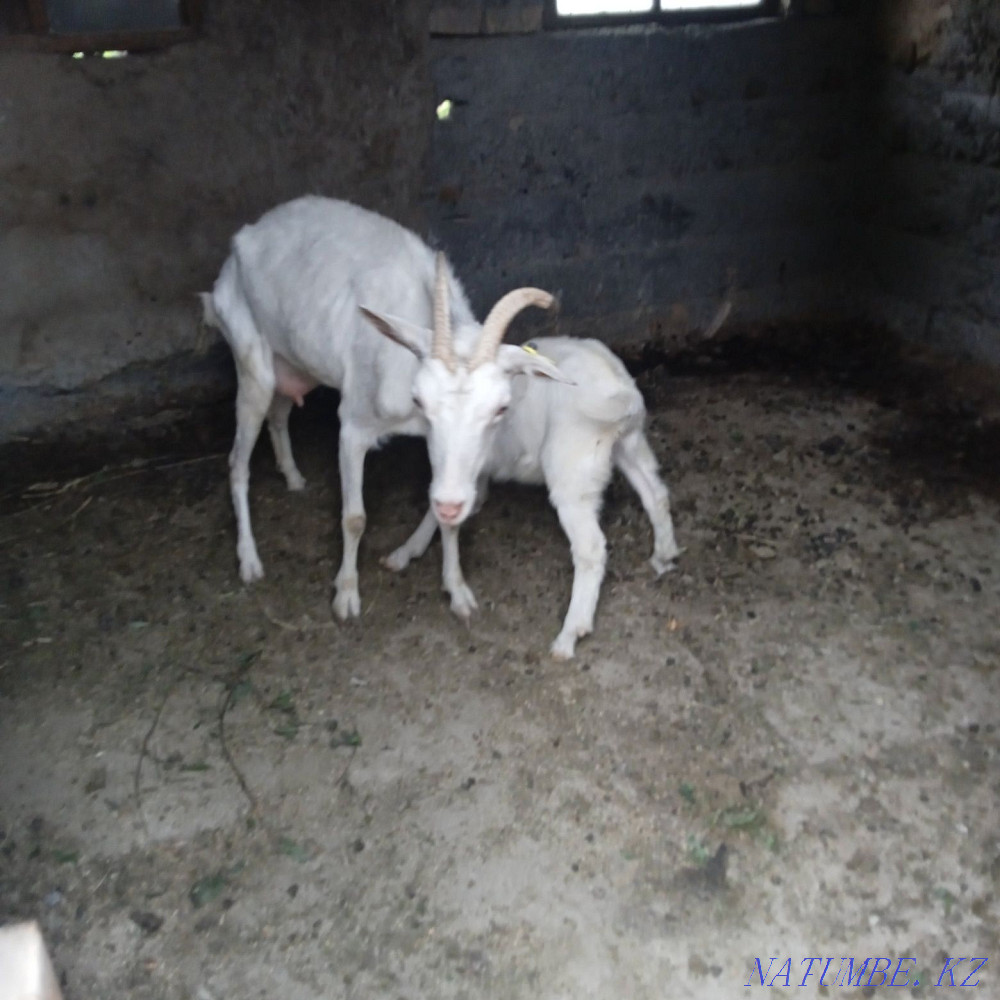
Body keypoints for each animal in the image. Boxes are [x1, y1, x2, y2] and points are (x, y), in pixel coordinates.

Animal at [200, 195, 567, 620]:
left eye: (500, 409)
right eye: (419, 399)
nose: (450, 504)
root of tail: (245, 237)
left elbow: (450, 517)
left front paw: (457, 590)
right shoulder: (353, 426)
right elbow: (354, 517)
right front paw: (346, 596)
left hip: (291, 363)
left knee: (278, 414)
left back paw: (293, 477)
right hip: (251, 365)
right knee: (238, 461)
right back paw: (249, 560)